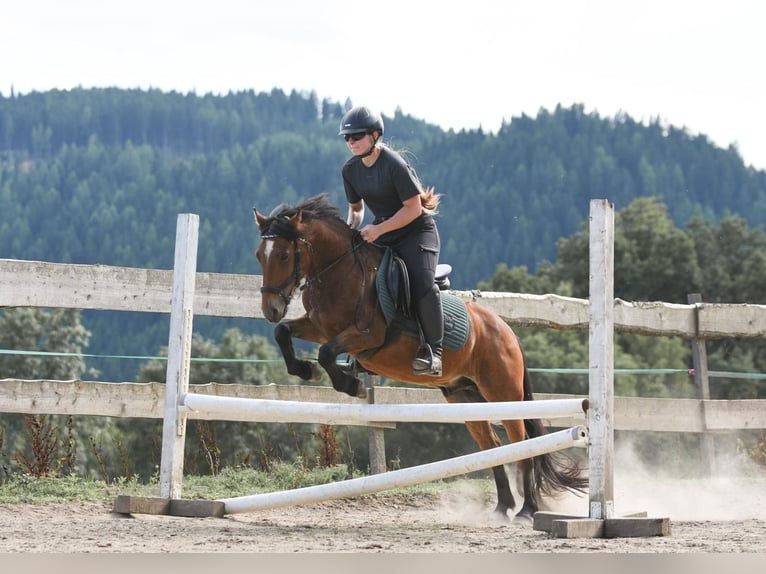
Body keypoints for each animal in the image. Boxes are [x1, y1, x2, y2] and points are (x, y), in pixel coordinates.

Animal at [253, 193, 587, 521]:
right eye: (259, 255)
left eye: (283, 255)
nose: (270, 309)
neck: (340, 271)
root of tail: (507, 332)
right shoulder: (319, 327)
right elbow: (284, 332)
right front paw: (305, 370)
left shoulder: (366, 335)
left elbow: (325, 353)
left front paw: (350, 385)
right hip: (463, 396)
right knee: (492, 445)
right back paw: (502, 508)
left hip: (502, 393)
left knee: (522, 444)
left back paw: (527, 510)